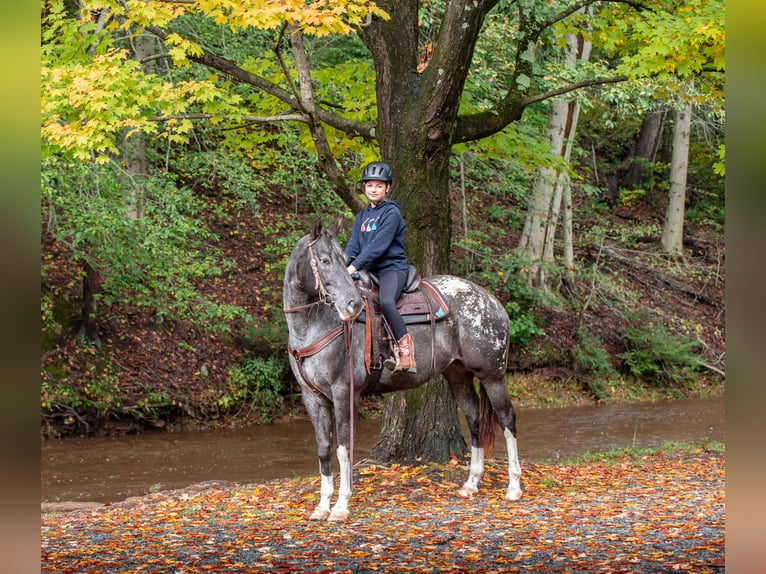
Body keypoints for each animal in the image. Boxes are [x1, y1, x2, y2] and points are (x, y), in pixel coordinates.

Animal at [283, 219, 522, 521]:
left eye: (340, 260)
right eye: (325, 260)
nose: (352, 304)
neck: (314, 326)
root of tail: (492, 301)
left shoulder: (344, 393)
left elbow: (343, 449)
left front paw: (341, 506)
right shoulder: (312, 397)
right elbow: (324, 449)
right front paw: (322, 506)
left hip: (492, 374)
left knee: (507, 420)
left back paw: (513, 487)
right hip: (457, 375)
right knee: (474, 418)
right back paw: (471, 484)